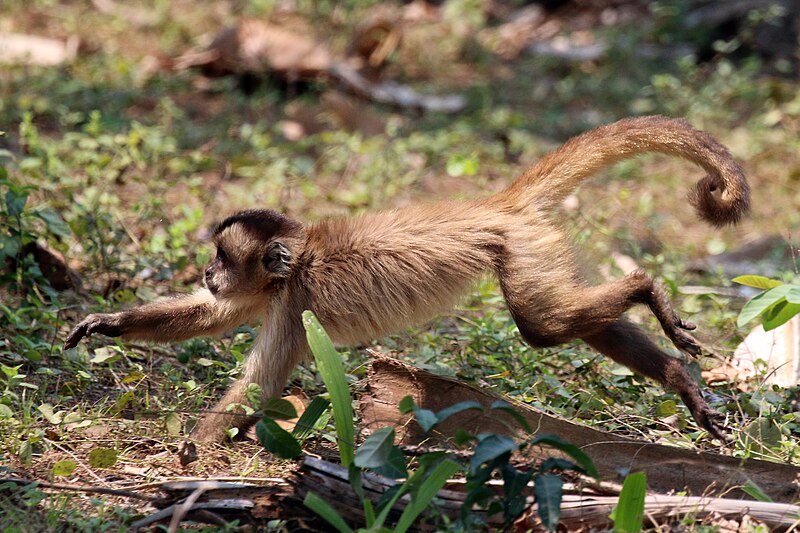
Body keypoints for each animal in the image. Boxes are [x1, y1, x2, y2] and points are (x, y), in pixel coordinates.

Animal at [62, 115, 752, 440]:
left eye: (223, 258)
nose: (207, 271)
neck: (298, 262)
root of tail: (495, 205)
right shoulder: (268, 294)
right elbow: (212, 317)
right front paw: (110, 322)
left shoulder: (293, 302)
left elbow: (260, 381)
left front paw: (193, 454)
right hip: (535, 246)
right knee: (559, 322)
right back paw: (676, 375)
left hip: (519, 247)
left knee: (539, 325)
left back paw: (644, 287)